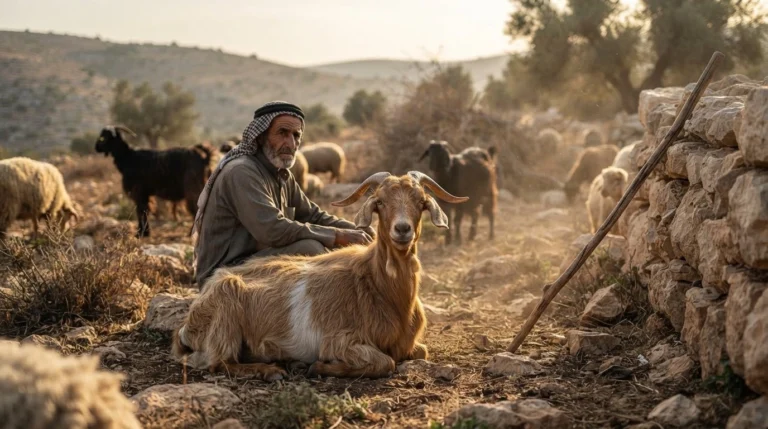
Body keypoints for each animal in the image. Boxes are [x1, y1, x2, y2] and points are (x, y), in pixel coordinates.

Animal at [172, 171, 468, 380]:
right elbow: (386, 362)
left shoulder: (409, 343)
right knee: (217, 362)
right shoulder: (339, 340)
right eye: (380, 203)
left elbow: (419, 351)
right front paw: (318, 367)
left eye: (421, 202)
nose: (403, 229)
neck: (378, 286)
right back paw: (272, 370)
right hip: (225, 313)